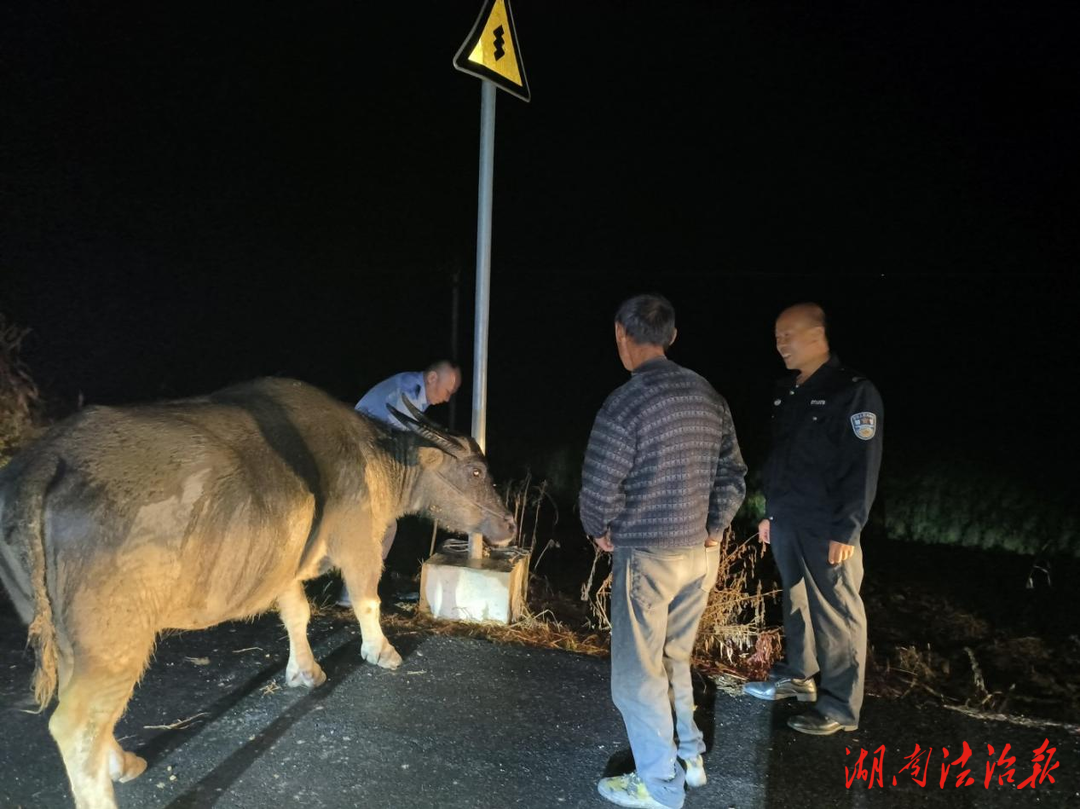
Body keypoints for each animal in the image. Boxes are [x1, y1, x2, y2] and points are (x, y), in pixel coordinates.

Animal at [0, 378, 518, 807]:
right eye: (476, 472)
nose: (510, 525)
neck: (372, 458)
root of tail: (44, 462)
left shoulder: (283, 566)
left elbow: (296, 614)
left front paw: (305, 671)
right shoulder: (358, 544)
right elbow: (366, 601)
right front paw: (382, 651)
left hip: (69, 639)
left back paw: (122, 762)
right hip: (114, 637)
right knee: (75, 725)